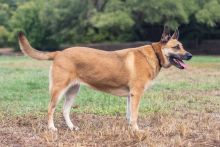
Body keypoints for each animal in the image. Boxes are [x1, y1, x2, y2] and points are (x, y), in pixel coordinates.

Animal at [17, 26, 192, 133]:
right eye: (176, 47)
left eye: (182, 46)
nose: (190, 55)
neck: (155, 54)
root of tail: (59, 53)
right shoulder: (136, 94)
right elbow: (135, 115)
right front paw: (136, 130)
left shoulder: (130, 96)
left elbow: (129, 115)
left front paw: (130, 128)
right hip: (58, 90)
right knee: (50, 109)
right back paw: (51, 128)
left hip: (72, 91)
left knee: (65, 110)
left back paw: (72, 127)